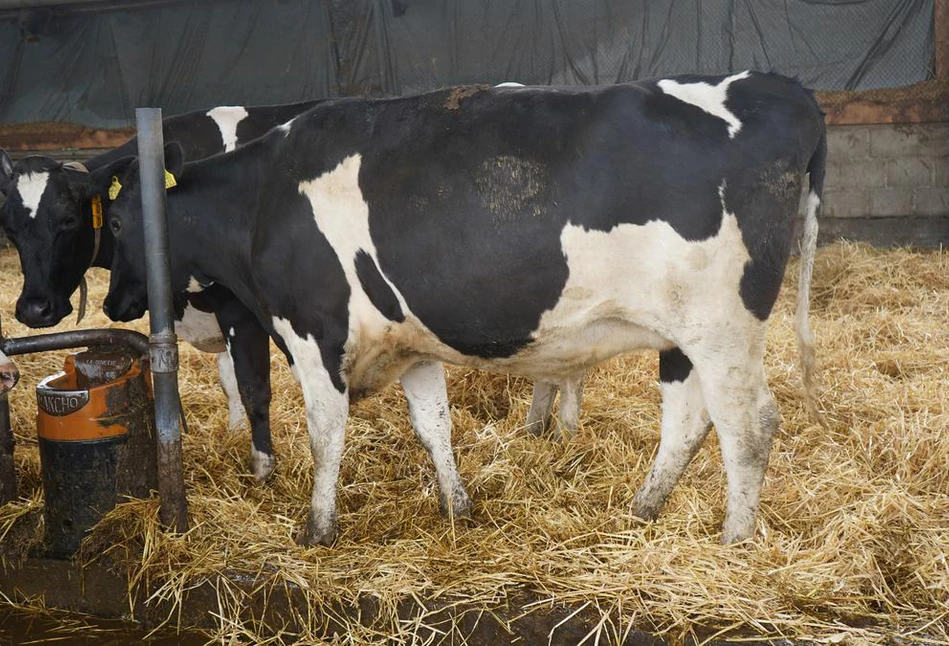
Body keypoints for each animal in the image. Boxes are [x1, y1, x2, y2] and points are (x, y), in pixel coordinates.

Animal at [103, 72, 824, 548]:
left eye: (111, 221)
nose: (112, 302)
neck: (261, 201)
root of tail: (777, 86)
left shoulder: (313, 332)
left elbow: (324, 431)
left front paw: (316, 527)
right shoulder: (411, 340)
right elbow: (434, 426)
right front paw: (457, 505)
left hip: (723, 325)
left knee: (749, 424)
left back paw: (734, 540)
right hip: (684, 334)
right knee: (688, 417)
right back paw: (644, 509)